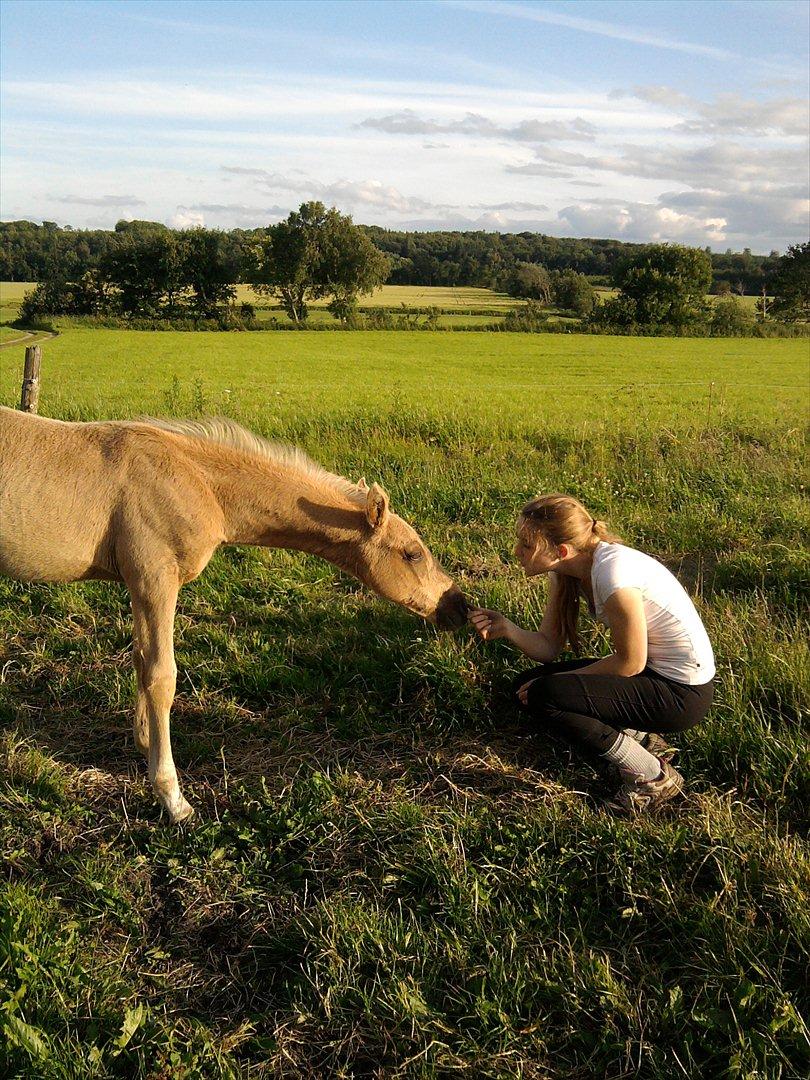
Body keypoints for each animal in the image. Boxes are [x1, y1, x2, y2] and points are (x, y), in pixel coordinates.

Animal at [0, 408, 468, 820]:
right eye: (412, 553)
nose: (459, 607)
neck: (196, 482)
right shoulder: (155, 577)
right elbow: (161, 675)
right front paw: (172, 797)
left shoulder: (139, 585)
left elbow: (139, 660)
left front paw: (145, 742)